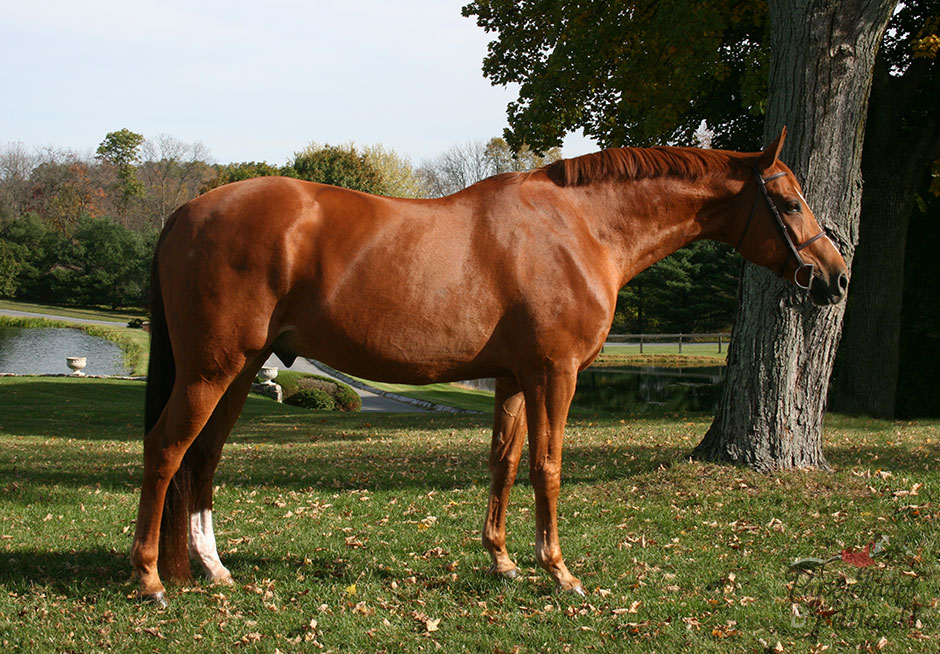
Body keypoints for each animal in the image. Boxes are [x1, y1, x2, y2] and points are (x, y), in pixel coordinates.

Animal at [131, 128, 848, 605]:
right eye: (788, 203)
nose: (835, 278)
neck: (580, 228)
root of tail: (185, 212)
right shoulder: (555, 375)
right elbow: (547, 468)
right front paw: (559, 572)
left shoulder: (512, 379)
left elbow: (503, 462)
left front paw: (502, 562)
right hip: (210, 370)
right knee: (166, 449)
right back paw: (149, 578)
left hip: (241, 369)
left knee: (203, 457)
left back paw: (213, 569)